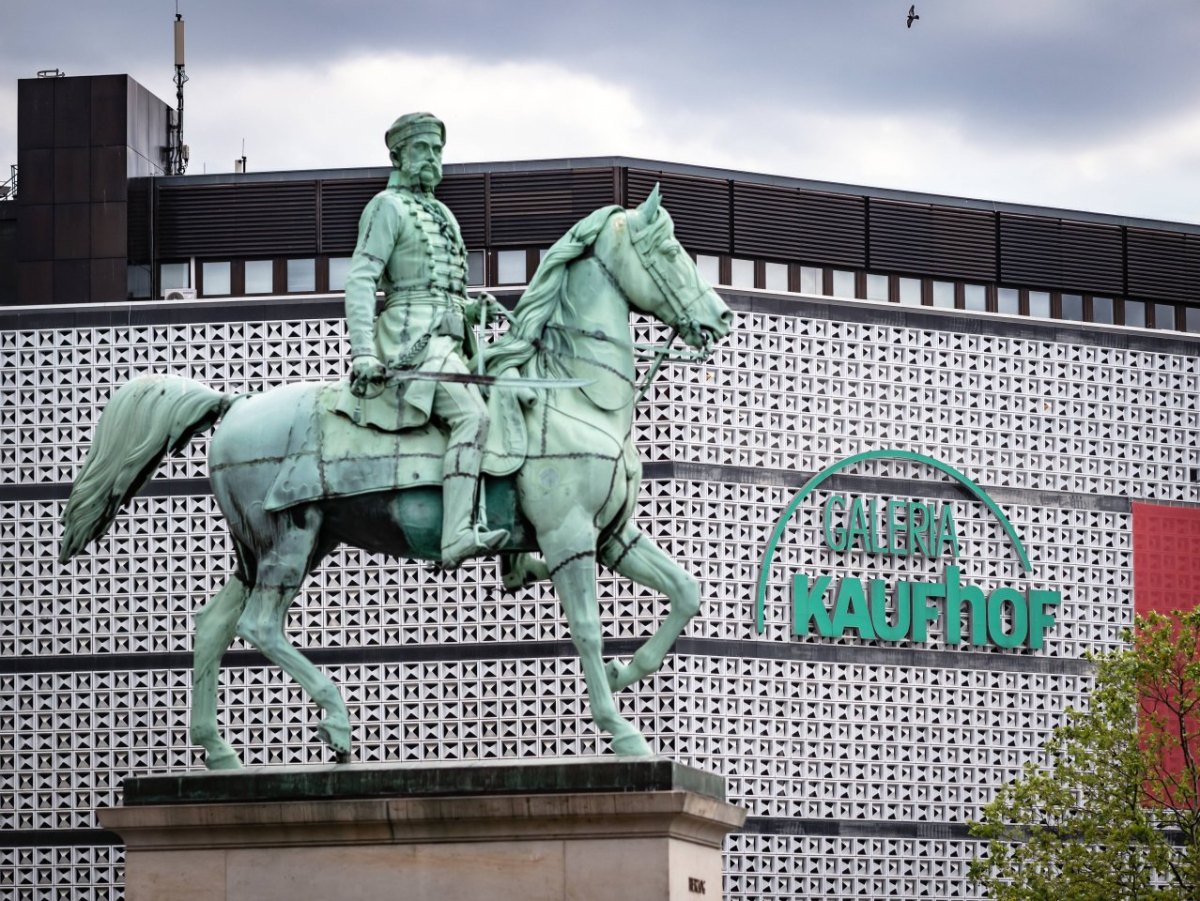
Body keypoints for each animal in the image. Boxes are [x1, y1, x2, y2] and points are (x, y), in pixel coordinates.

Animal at [60, 188, 734, 767]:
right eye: (670, 251)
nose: (722, 319)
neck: (575, 396)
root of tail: (236, 404)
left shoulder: (613, 535)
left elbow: (686, 591)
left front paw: (629, 673)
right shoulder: (569, 538)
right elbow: (590, 630)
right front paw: (622, 730)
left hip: (275, 546)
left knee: (212, 628)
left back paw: (220, 752)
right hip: (288, 540)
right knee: (258, 624)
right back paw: (335, 722)